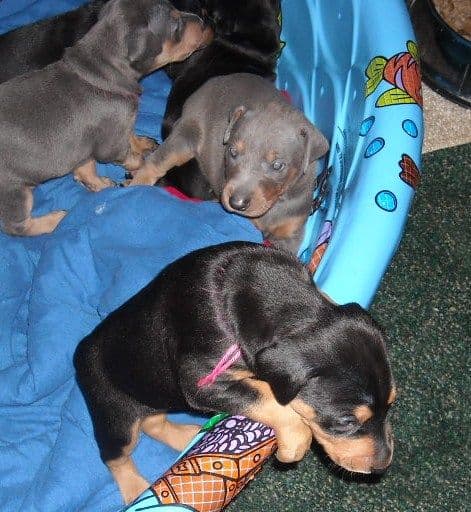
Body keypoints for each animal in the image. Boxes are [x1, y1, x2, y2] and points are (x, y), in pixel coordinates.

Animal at [0, 0, 212, 236]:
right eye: (175, 26)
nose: (205, 21)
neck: (100, 68)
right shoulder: (109, 145)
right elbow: (129, 157)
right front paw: (139, 167)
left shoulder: (94, 140)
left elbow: (92, 165)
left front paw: (104, 181)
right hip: (13, 191)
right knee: (17, 226)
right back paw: (55, 220)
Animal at [74, 241, 398, 504]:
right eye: (345, 422)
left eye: (392, 404)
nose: (381, 466)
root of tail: (80, 352)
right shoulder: (200, 382)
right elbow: (267, 399)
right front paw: (293, 446)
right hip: (113, 412)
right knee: (115, 455)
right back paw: (135, 489)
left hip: (154, 393)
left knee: (153, 422)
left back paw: (188, 438)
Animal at [127, 73, 330, 253]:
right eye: (232, 152)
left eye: (278, 165)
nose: (236, 203)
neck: (276, 203)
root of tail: (215, 80)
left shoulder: (289, 234)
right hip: (187, 135)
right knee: (156, 162)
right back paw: (134, 184)